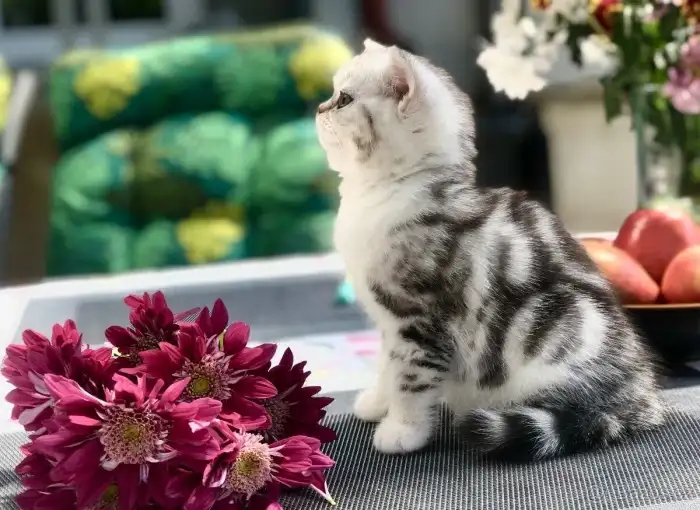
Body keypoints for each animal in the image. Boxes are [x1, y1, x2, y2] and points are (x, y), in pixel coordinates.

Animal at [315, 39, 664, 459]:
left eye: (344, 99)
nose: (319, 108)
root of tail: (644, 398)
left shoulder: (419, 317)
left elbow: (410, 378)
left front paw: (403, 430)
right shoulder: (389, 321)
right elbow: (387, 365)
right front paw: (378, 402)